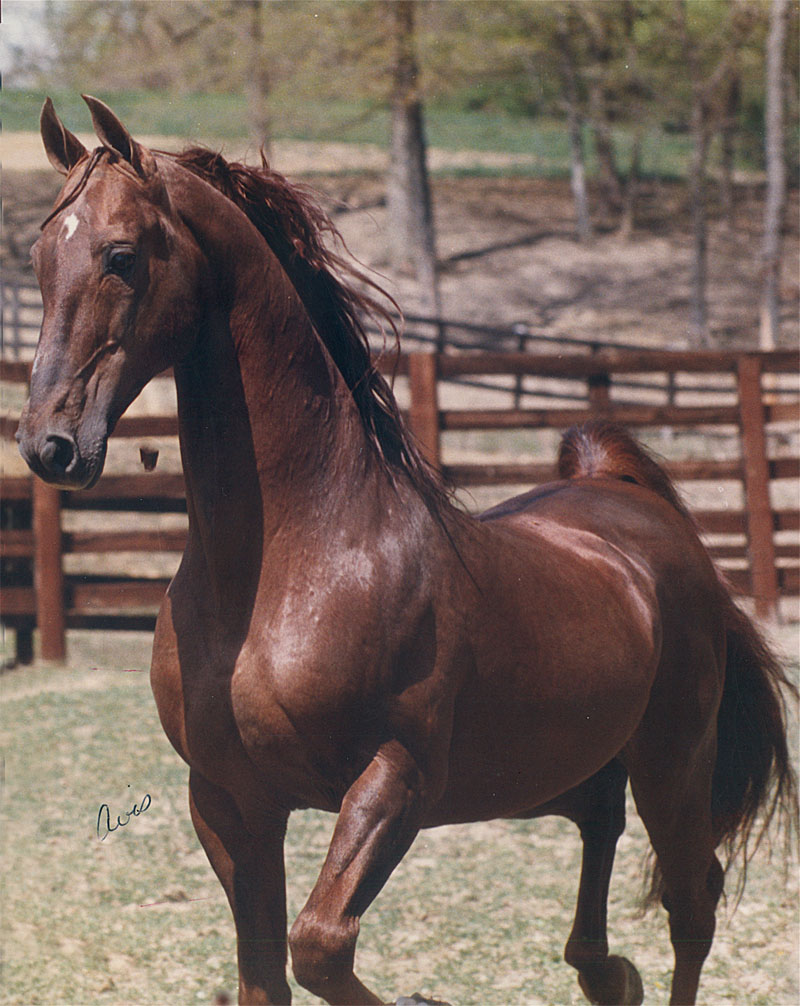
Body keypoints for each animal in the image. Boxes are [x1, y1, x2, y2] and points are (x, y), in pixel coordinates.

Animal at [17, 100, 792, 1006]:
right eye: (40, 255)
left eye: (121, 256)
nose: (49, 446)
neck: (294, 562)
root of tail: (631, 502)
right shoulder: (228, 799)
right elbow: (265, 970)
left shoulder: (396, 779)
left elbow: (319, 946)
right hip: (570, 765)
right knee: (600, 838)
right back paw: (609, 974)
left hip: (674, 761)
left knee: (691, 904)